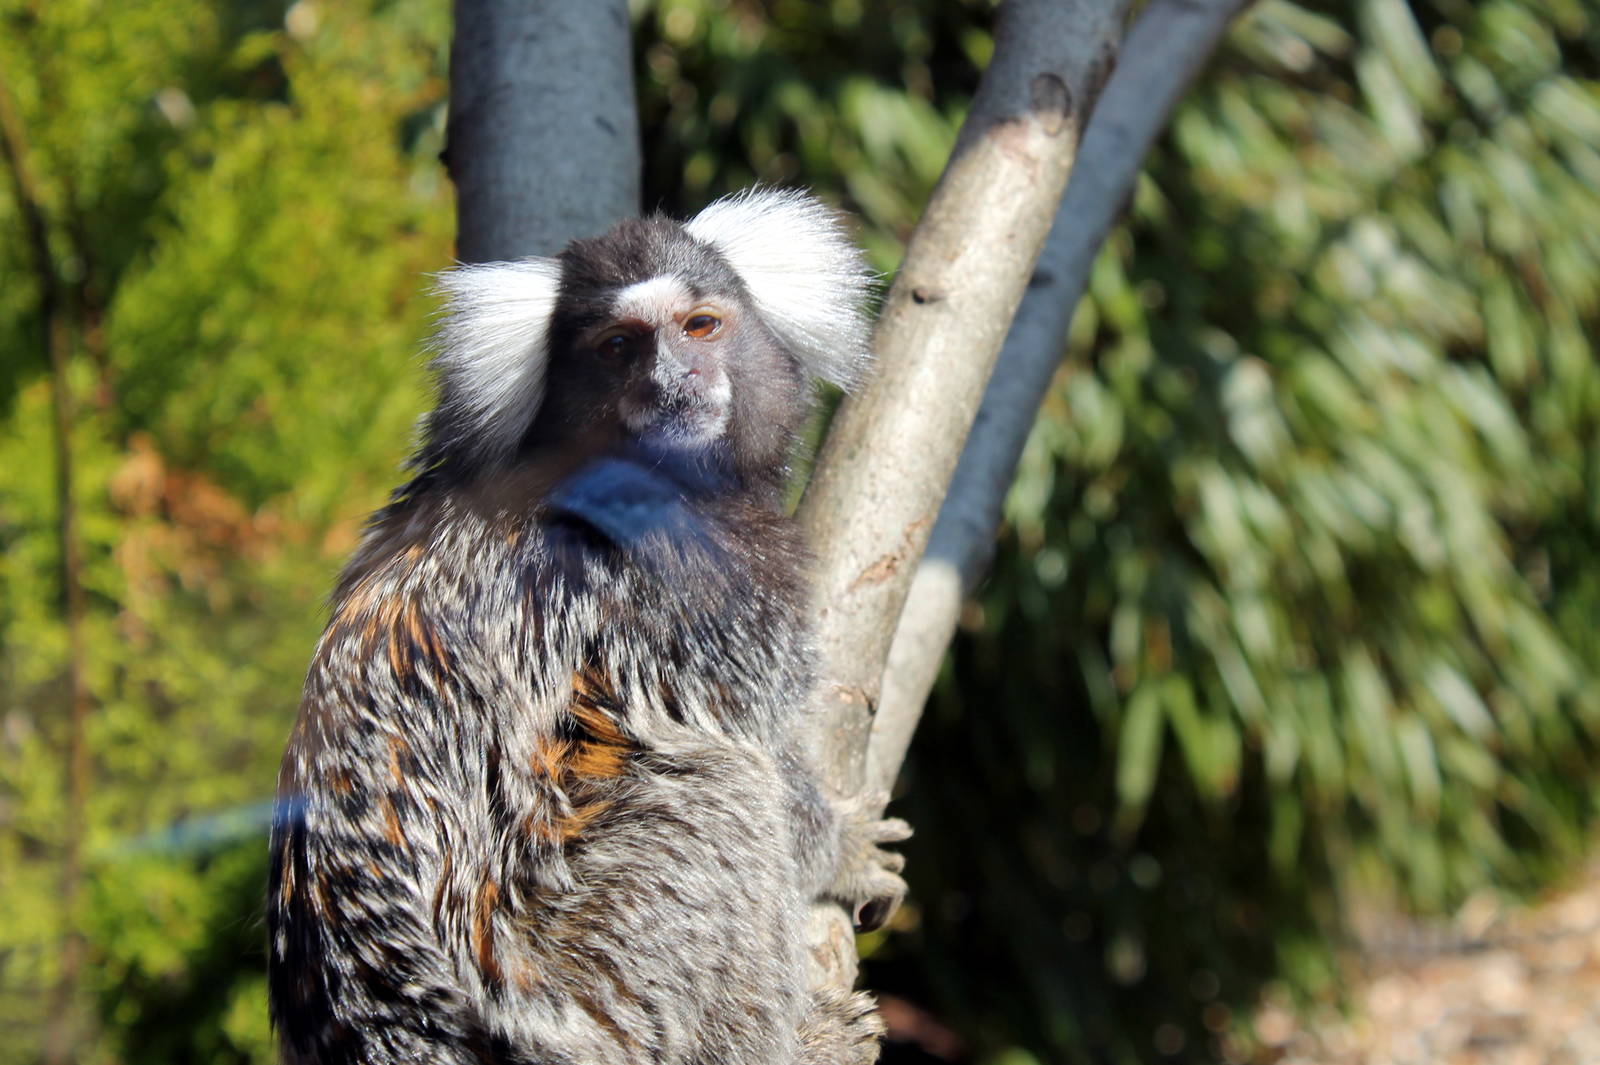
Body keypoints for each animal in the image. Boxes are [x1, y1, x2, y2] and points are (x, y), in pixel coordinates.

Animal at [267, 188, 910, 1065]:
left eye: (700, 326)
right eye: (618, 348)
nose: (673, 383)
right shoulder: (681, 591)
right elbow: (753, 748)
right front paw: (838, 849)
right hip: (575, 983)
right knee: (718, 786)